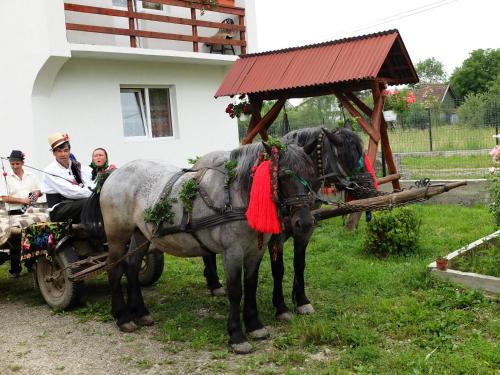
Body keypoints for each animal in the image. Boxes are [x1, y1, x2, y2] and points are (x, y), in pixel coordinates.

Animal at [90, 142, 314, 354]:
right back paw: (122, 317)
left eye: (311, 174)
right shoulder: (232, 252)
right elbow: (236, 291)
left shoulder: (255, 252)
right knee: (115, 269)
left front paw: (254, 325)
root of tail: (113, 174)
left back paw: (141, 312)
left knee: (131, 266)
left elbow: (251, 286)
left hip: (140, 234)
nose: (304, 223)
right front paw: (237, 336)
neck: (236, 195)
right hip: (118, 236)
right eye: (283, 175)